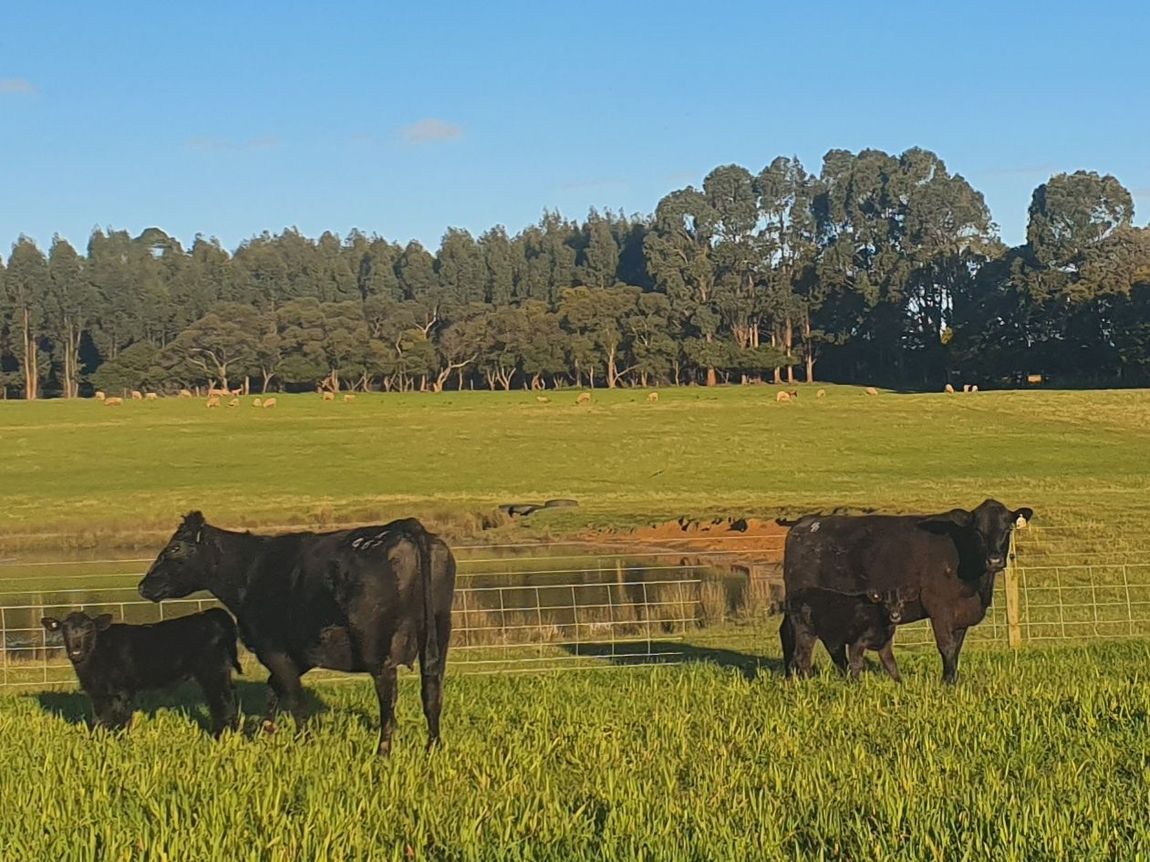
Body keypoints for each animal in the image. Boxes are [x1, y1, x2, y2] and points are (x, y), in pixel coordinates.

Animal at [41, 608, 240, 737]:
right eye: (64, 629)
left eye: (89, 629)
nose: (76, 650)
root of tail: (212, 614)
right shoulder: (97, 693)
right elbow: (100, 719)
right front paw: (99, 741)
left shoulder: (122, 691)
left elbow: (120, 719)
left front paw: (119, 740)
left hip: (213, 672)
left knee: (222, 702)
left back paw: (221, 734)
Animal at [137, 512, 456, 755]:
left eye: (174, 548)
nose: (143, 586)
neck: (250, 570)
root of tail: (404, 527)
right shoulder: (303, 651)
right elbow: (275, 687)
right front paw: (267, 731)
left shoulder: (273, 648)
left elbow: (294, 696)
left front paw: (304, 740)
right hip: (439, 632)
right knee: (432, 689)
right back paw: (433, 746)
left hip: (376, 646)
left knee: (388, 694)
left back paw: (383, 751)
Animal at [781, 586, 916, 682]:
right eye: (885, 604)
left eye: (901, 603)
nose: (895, 616)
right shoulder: (857, 642)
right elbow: (857, 664)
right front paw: (857, 684)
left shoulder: (885, 645)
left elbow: (891, 664)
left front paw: (901, 683)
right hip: (805, 633)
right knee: (802, 657)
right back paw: (810, 681)